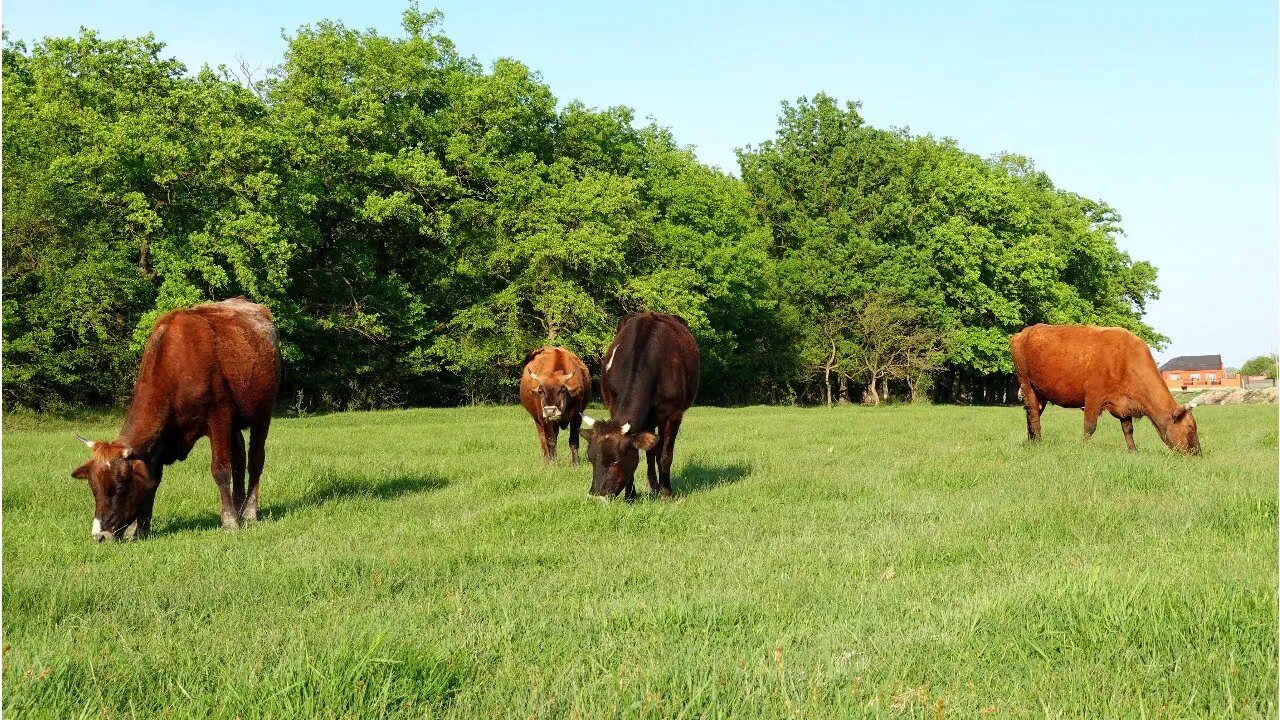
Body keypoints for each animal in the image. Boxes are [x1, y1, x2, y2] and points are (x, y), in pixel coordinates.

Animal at [72, 297, 282, 538]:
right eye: (93, 488)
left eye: (120, 487)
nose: (99, 535)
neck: (177, 363)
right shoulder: (160, 442)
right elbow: (153, 480)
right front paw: (139, 529)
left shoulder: (218, 416)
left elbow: (220, 469)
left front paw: (229, 521)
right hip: (235, 422)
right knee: (239, 459)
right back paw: (239, 506)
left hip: (262, 412)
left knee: (255, 459)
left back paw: (248, 512)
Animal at [583, 311, 701, 497]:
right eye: (590, 458)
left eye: (616, 460)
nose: (597, 496)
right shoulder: (613, 405)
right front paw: (630, 495)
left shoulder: (673, 414)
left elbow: (665, 455)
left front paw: (666, 493)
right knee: (651, 451)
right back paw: (652, 486)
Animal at [1008, 322, 1198, 450]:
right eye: (1191, 427)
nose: (1198, 453)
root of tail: (1026, 331)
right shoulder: (1093, 397)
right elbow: (1090, 426)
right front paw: (1084, 448)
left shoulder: (1124, 403)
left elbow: (1128, 429)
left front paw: (1133, 451)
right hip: (1026, 383)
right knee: (1033, 414)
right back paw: (1038, 442)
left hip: (1040, 392)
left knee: (1031, 415)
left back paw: (1031, 440)